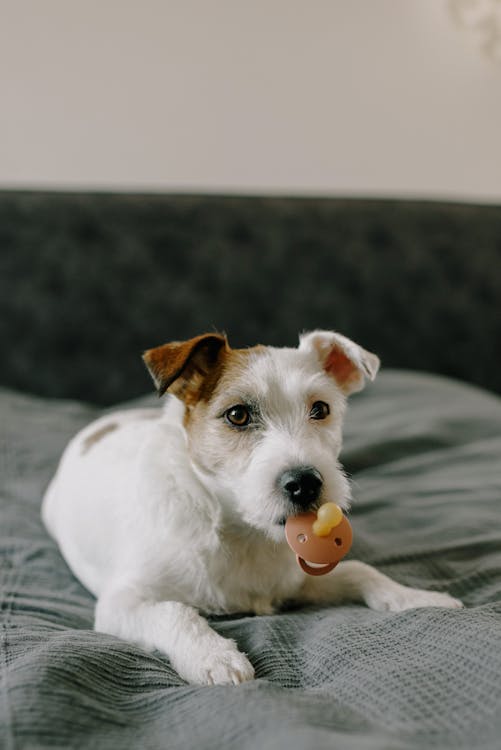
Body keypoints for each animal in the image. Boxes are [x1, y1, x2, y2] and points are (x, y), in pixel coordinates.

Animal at [42, 332, 460, 684]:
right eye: (238, 415)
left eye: (320, 409)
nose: (305, 483)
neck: (239, 531)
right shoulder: (122, 603)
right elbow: (174, 612)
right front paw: (213, 656)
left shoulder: (299, 580)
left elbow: (362, 571)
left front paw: (418, 598)